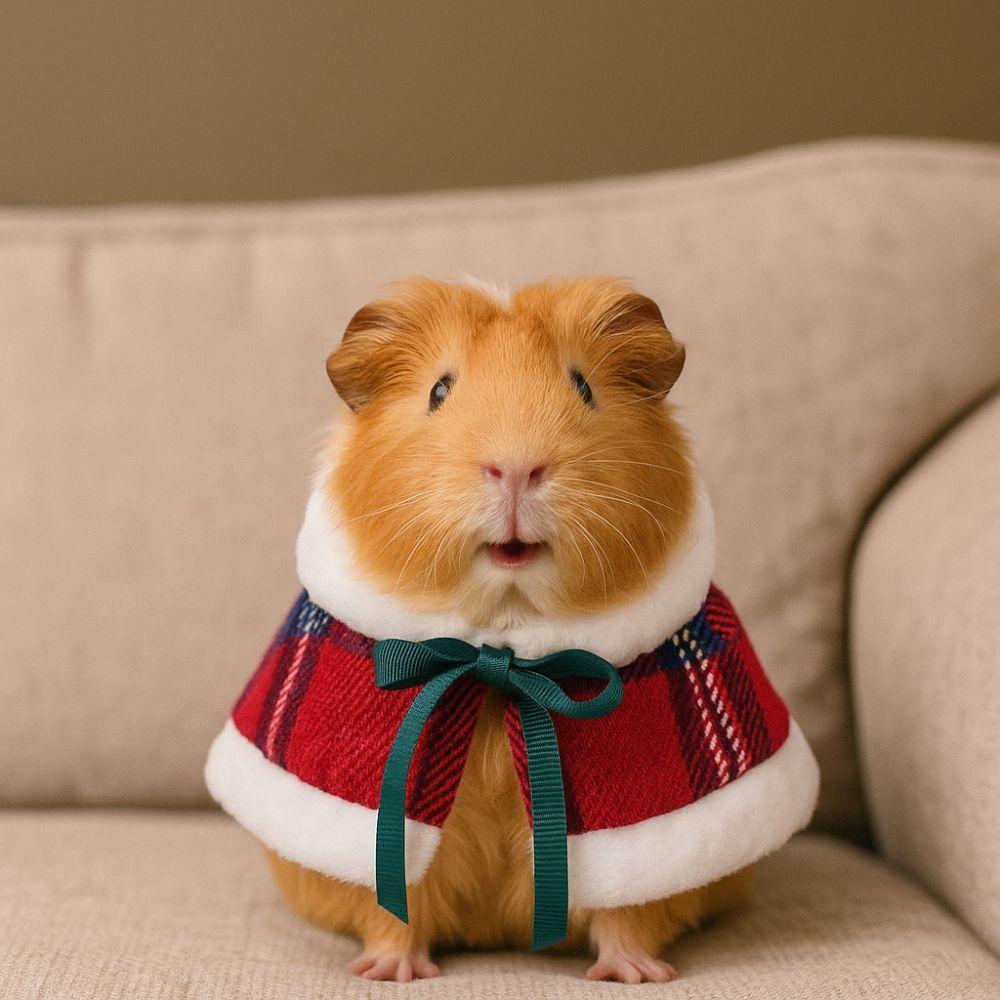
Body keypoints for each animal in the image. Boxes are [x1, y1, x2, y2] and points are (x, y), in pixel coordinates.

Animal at [268, 277, 753, 983]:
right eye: (438, 391)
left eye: (584, 386)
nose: (517, 468)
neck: (503, 648)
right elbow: (394, 913)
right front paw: (390, 974)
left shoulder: (642, 854)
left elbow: (628, 915)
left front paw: (636, 976)